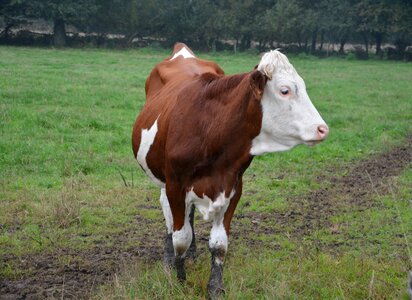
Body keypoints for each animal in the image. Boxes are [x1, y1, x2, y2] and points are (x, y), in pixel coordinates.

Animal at [132, 42, 328, 298]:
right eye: (285, 90)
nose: (322, 129)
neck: (210, 130)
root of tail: (182, 51)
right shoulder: (176, 185)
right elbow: (180, 237)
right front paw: (180, 280)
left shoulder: (233, 186)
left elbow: (219, 245)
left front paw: (215, 287)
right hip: (164, 181)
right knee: (169, 217)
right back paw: (169, 259)